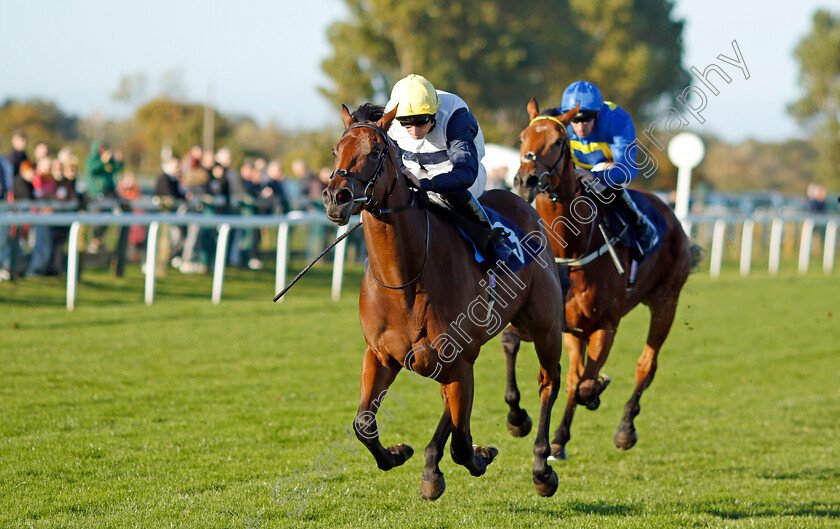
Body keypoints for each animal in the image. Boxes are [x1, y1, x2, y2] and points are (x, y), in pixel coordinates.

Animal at [320, 103, 564, 500]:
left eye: (375, 151)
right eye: (335, 150)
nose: (335, 197)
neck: (404, 281)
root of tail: (525, 205)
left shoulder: (459, 360)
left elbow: (461, 445)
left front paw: (470, 458)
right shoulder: (380, 356)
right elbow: (364, 424)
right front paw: (398, 452)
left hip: (545, 326)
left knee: (549, 381)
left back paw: (542, 467)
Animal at [506, 97, 704, 460]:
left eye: (559, 142)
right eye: (522, 137)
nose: (526, 180)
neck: (569, 248)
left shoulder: (606, 325)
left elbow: (588, 383)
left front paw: (597, 390)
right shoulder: (555, 320)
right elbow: (519, 346)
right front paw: (519, 420)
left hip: (666, 301)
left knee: (645, 365)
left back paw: (625, 428)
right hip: (577, 328)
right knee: (574, 375)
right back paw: (560, 438)